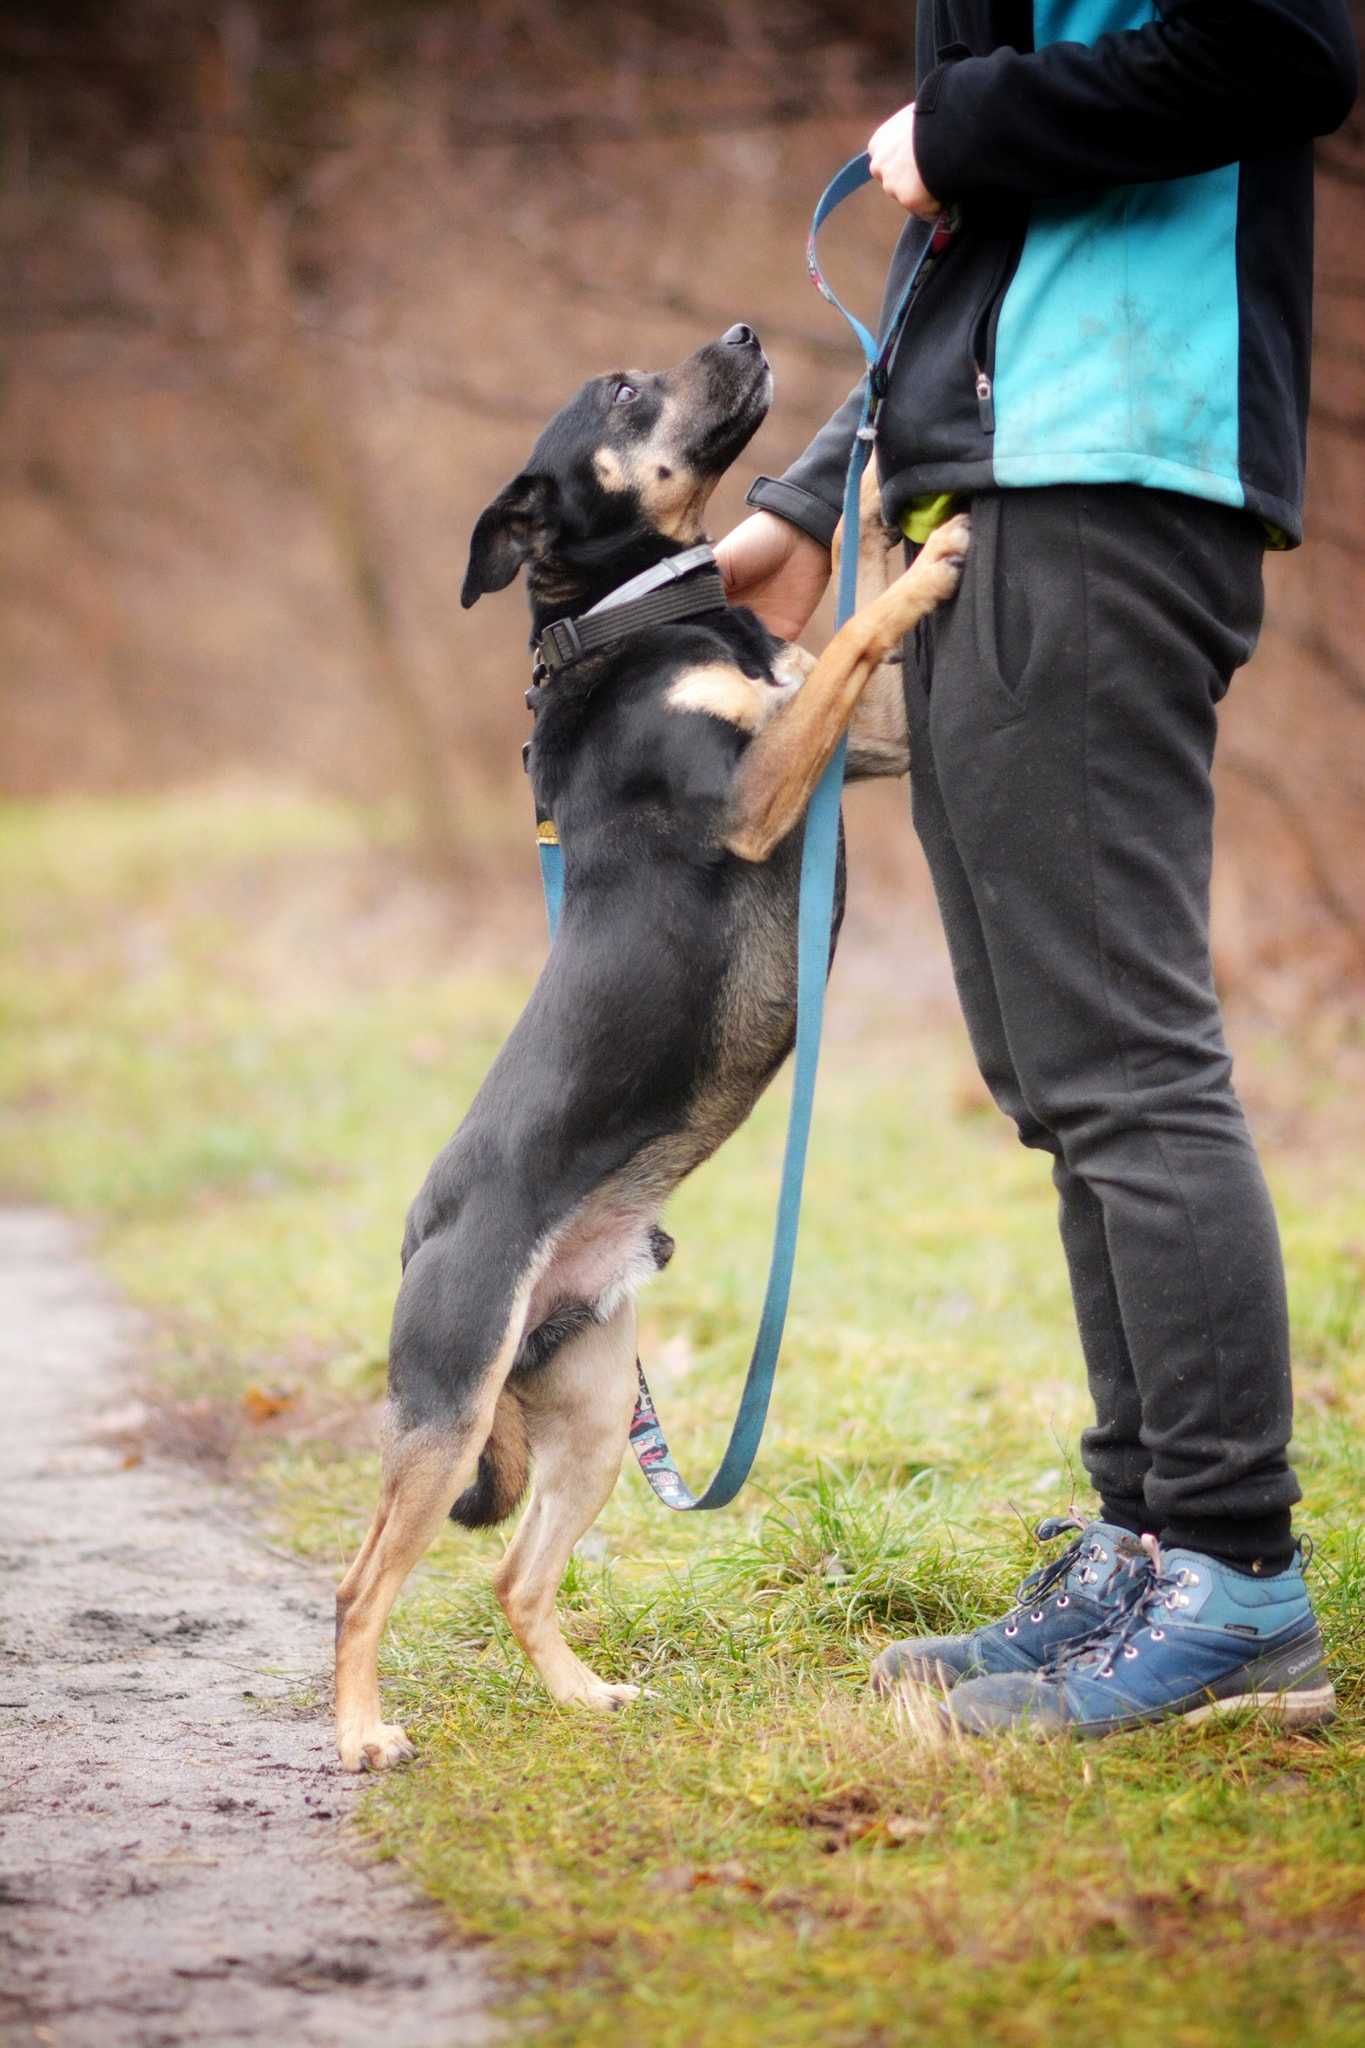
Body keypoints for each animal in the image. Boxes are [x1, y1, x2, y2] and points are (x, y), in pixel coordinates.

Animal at [335, 323, 965, 1777]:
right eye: (623, 390)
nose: (744, 333)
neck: (635, 613)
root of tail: (416, 1235)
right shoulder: (756, 789)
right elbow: (857, 629)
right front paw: (929, 565)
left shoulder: (859, 751)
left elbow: (846, 615)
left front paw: (892, 488)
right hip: (452, 1400)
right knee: (361, 1582)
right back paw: (359, 1733)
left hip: (586, 1414)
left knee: (516, 1577)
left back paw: (580, 1696)